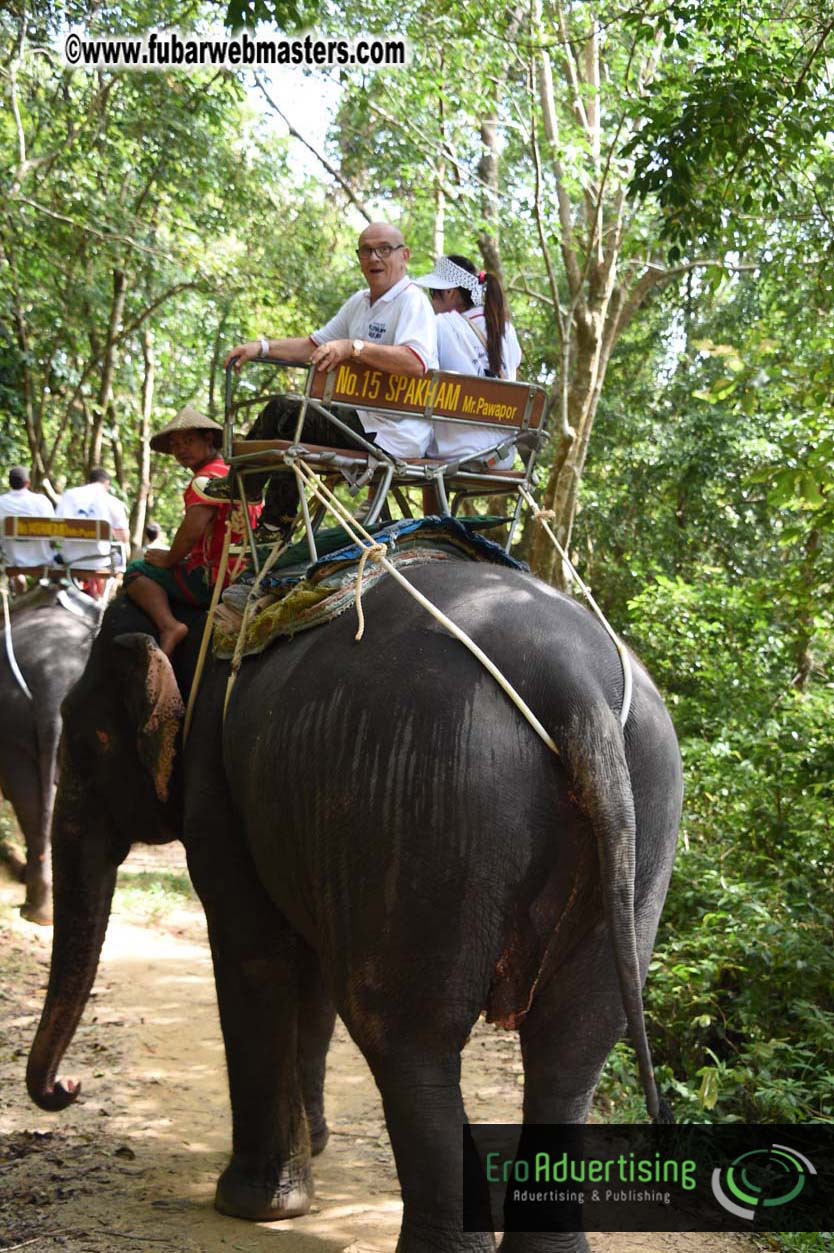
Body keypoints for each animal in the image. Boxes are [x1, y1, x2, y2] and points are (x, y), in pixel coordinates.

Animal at [27, 561, 682, 1253]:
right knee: (576, 1043)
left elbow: (253, 952)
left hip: (422, 800)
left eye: (85, 739)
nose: (67, 1087)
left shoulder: (217, 785)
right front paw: (313, 1144)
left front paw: (256, 1206)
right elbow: (308, 965)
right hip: (639, 823)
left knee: (407, 1039)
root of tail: (573, 685)